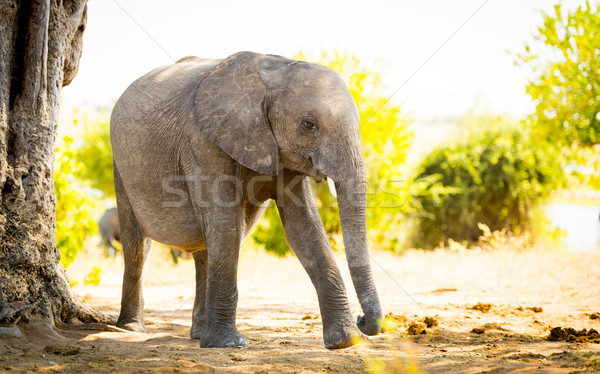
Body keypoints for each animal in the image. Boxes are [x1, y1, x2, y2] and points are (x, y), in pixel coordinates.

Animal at [111, 51, 384, 350]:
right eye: (309, 125)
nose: (362, 320)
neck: (274, 71)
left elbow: (304, 229)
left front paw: (347, 341)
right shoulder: (202, 141)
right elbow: (227, 224)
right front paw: (229, 344)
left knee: (206, 247)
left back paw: (198, 334)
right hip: (121, 168)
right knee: (137, 247)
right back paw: (131, 329)